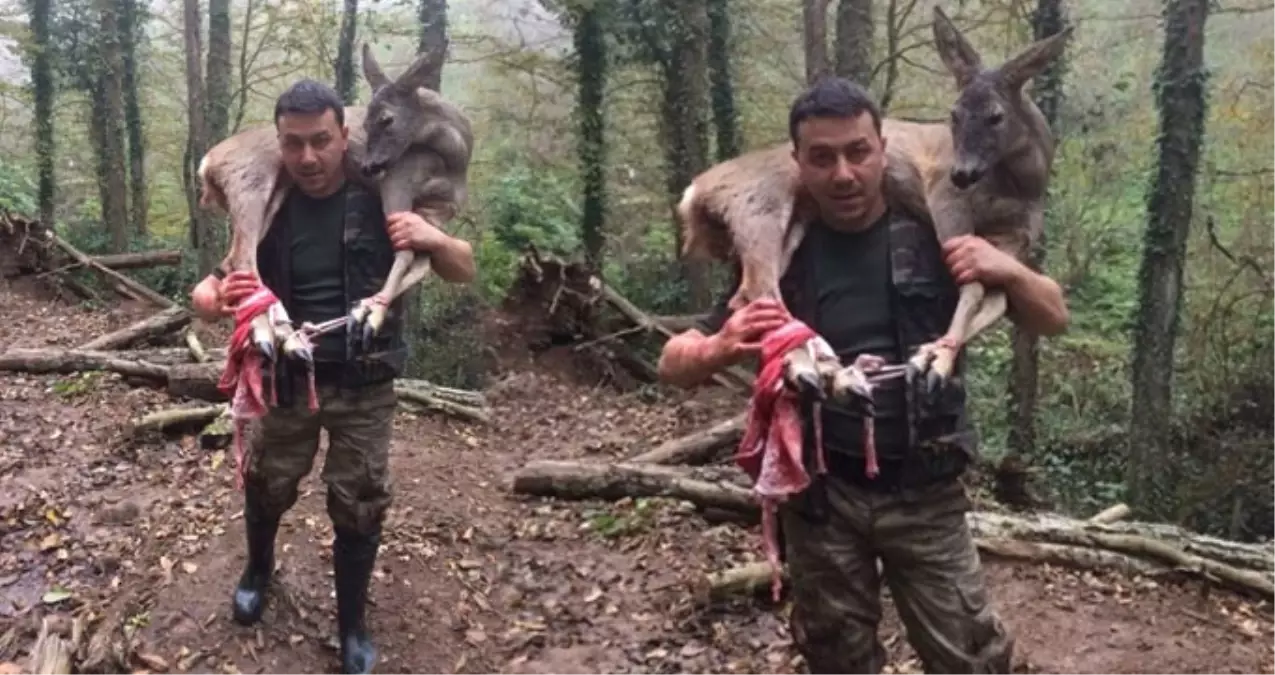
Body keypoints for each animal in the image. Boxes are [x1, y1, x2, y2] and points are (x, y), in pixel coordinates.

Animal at [196, 43, 476, 362]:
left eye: (387, 119)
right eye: (366, 120)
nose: (368, 166)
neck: (454, 160)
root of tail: (207, 163)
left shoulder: (435, 212)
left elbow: (422, 262)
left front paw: (362, 310)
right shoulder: (397, 182)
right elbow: (405, 256)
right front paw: (372, 315)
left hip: (274, 193)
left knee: (234, 258)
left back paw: (286, 334)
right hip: (250, 181)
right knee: (243, 258)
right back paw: (271, 335)